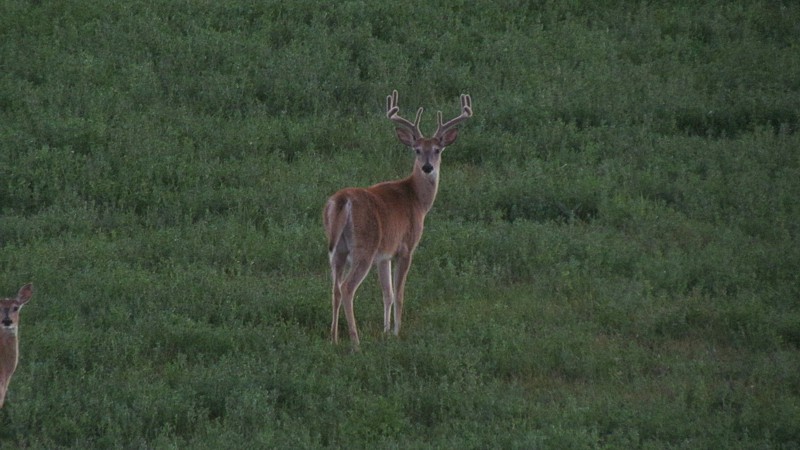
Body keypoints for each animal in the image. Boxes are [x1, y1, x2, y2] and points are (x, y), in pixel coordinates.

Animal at [322, 90, 472, 348]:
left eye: (438, 149)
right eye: (416, 149)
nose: (427, 167)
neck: (417, 200)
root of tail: (342, 200)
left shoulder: (384, 255)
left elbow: (387, 293)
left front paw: (385, 331)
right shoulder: (406, 247)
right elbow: (400, 293)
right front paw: (396, 332)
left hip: (338, 250)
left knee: (335, 289)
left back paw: (334, 339)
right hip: (364, 247)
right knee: (347, 288)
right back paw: (355, 342)